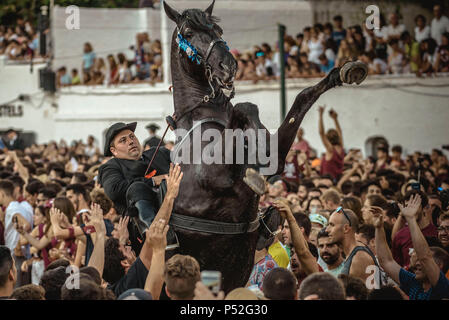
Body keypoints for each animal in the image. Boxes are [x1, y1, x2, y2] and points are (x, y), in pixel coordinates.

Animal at [163, 0, 366, 292]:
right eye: (188, 33)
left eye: (218, 30)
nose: (228, 65)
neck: (200, 120)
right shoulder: (211, 177)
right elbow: (245, 107)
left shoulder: (276, 155)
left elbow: (295, 101)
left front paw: (342, 71)